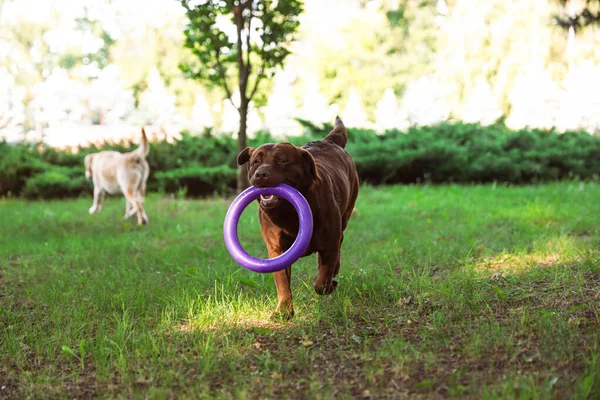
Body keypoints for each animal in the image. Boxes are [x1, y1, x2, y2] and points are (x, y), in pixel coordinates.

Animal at [237, 116, 358, 318]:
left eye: (282, 160)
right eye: (256, 161)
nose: (261, 174)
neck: (289, 212)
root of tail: (328, 141)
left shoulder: (329, 244)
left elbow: (322, 282)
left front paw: (330, 283)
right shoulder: (277, 250)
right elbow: (282, 283)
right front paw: (284, 310)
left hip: (345, 215)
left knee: (339, 244)